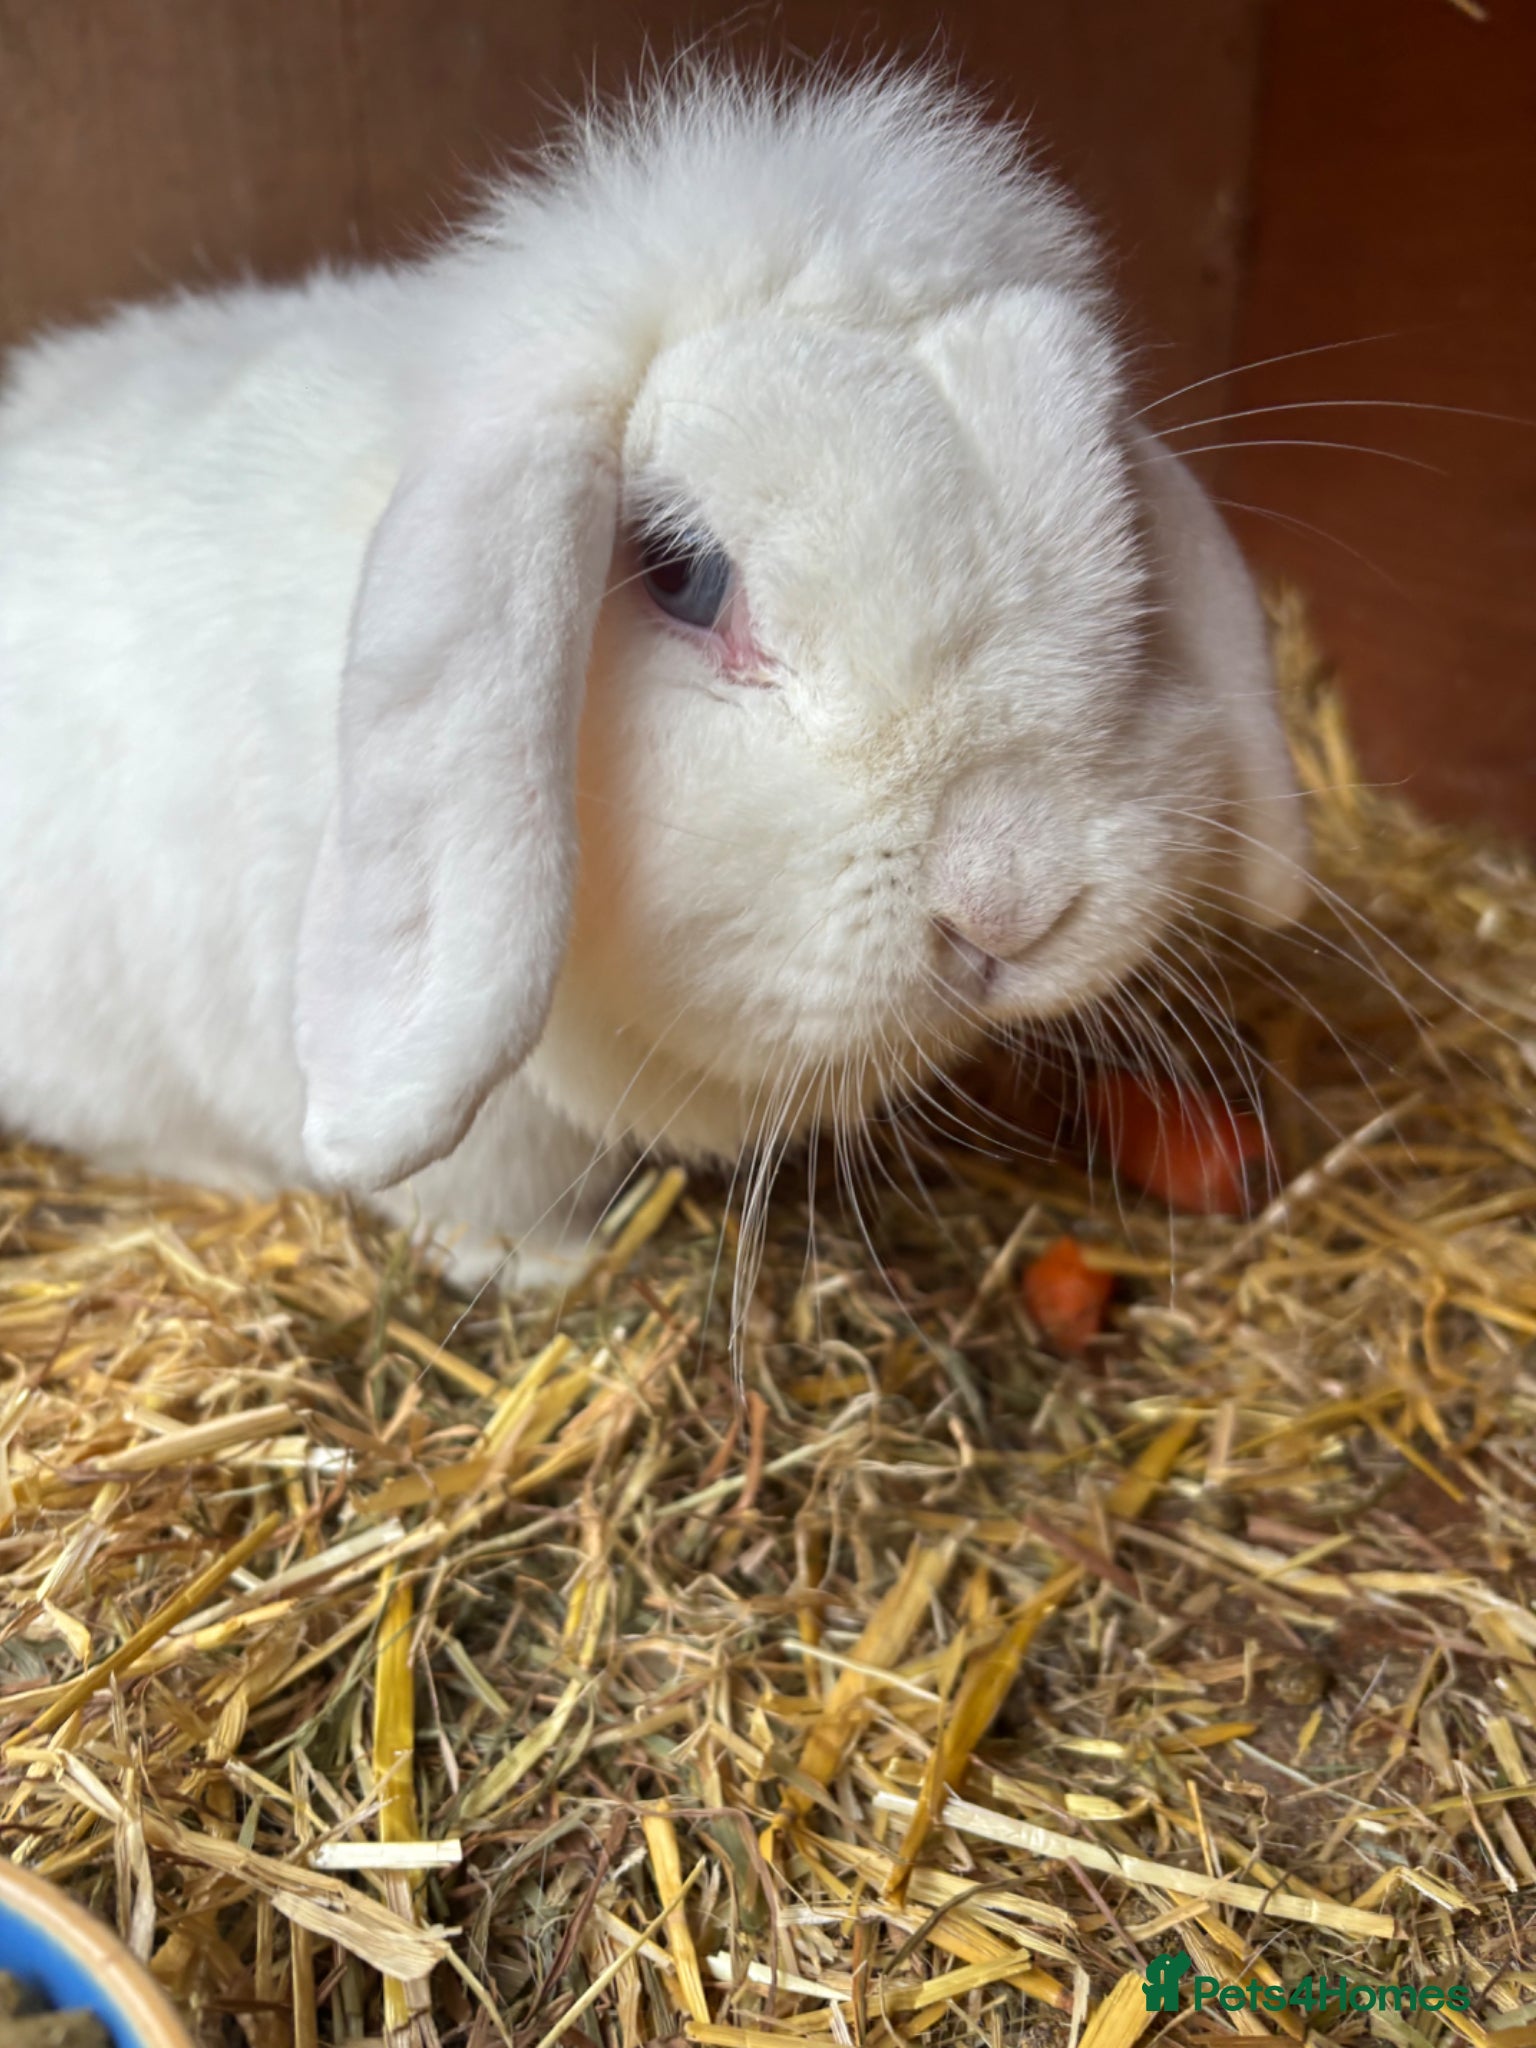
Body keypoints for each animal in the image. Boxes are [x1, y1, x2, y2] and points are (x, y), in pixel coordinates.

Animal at [0, 63, 1307, 1291]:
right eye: (682, 575)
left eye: (1121, 536)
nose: (1009, 906)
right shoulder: (487, 1142)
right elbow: (475, 1201)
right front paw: (549, 1270)